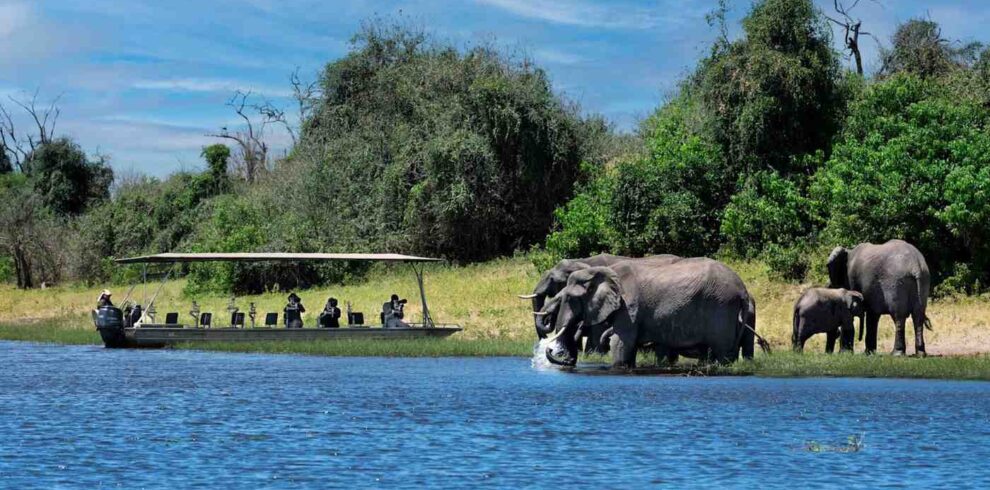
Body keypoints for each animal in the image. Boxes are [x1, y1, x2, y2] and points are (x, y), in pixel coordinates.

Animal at [543, 258, 752, 368]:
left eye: (570, 298)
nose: (550, 349)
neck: (599, 271)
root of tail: (743, 289)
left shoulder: (629, 306)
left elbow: (620, 342)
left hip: (721, 306)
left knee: (722, 352)